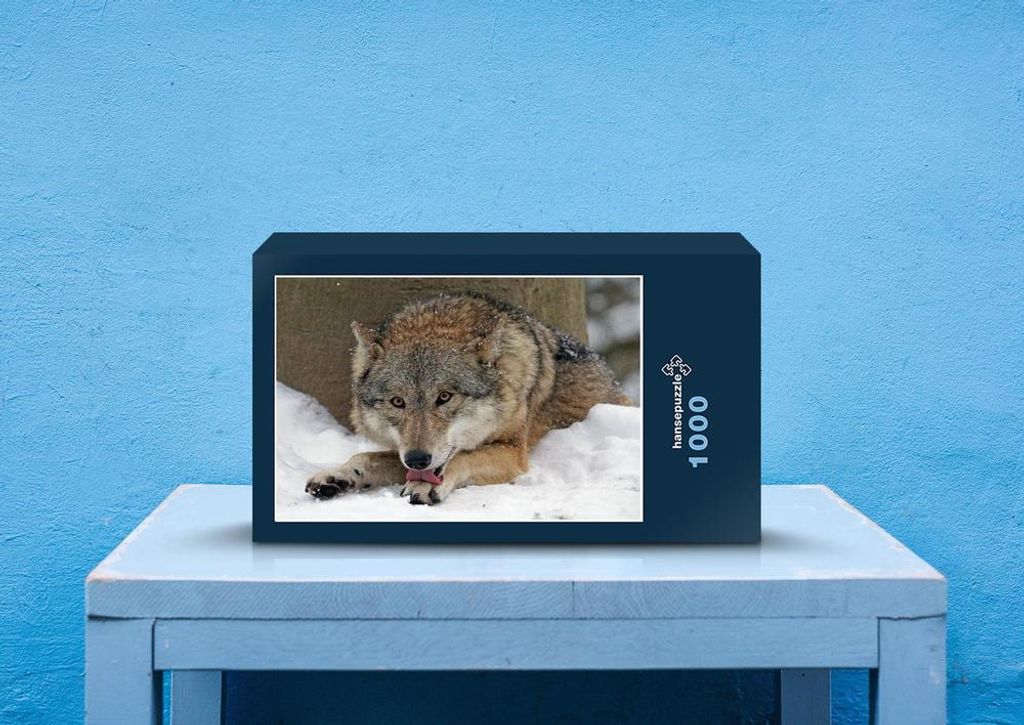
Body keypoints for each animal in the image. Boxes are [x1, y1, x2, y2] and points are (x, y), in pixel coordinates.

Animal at [305, 291, 632, 505]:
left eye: (445, 397)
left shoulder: (514, 451)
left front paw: (422, 486)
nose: (418, 458)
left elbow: (463, 456)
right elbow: (364, 456)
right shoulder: (404, 454)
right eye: (398, 402)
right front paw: (336, 475)